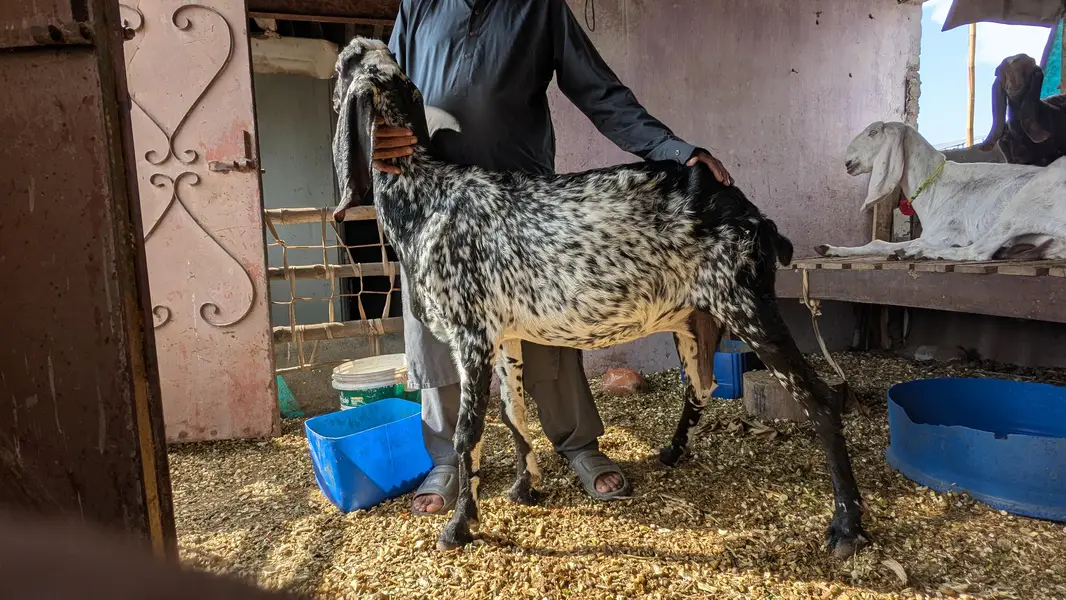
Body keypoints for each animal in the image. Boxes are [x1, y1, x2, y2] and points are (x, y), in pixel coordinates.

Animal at [332, 37, 867, 558]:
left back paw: (846, 526)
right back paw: (671, 453)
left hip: (749, 307)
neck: (426, 196)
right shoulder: (503, 336)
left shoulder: (470, 334)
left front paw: (460, 525)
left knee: (820, 402)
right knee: (700, 387)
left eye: (341, 65)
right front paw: (524, 488)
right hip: (694, 320)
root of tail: (750, 212)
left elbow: (469, 433)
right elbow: (513, 413)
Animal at [818, 121, 1066, 261]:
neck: (935, 186)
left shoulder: (948, 233)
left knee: (978, 251)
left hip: (1025, 202)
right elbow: (878, 243)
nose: (848, 162)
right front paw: (829, 248)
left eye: (873, 132)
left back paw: (917, 253)